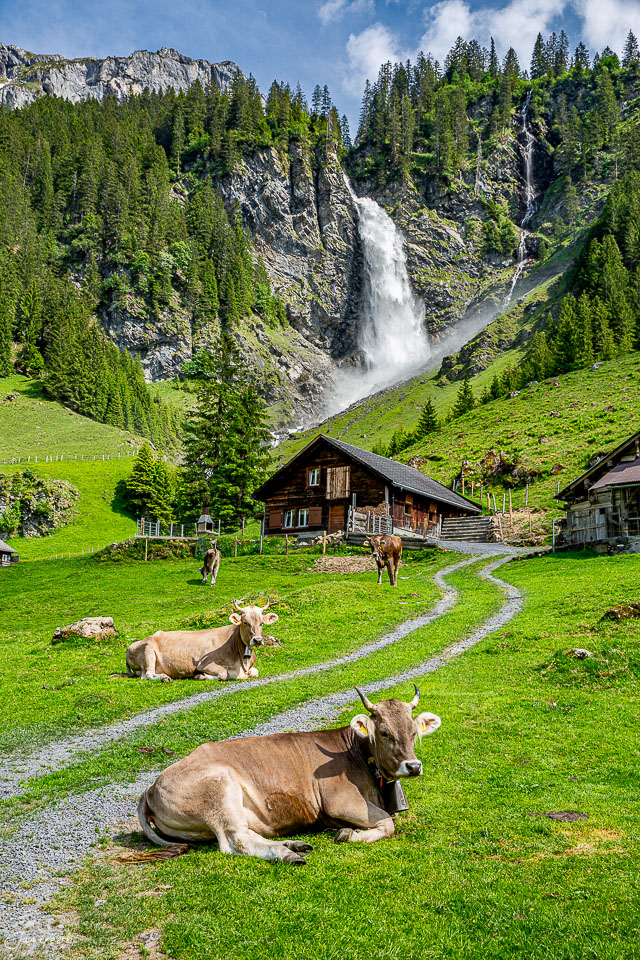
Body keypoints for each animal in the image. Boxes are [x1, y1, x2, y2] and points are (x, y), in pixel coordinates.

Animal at [125, 599, 278, 682]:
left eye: (261, 623)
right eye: (245, 622)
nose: (257, 640)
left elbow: (255, 672)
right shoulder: (203, 664)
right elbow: (223, 674)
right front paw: (200, 676)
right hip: (148, 651)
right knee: (148, 674)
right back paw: (165, 678)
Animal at [137, 685, 441, 864]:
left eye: (413, 731)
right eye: (384, 733)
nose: (413, 766)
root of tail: (151, 787)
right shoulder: (341, 801)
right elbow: (388, 823)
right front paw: (348, 834)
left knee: (248, 834)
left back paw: (294, 844)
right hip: (219, 791)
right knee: (237, 841)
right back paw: (286, 854)